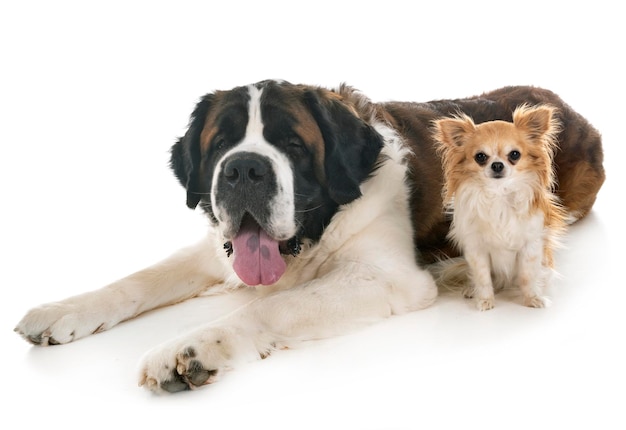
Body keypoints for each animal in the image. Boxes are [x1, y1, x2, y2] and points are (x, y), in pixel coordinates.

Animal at [434, 106, 564, 310]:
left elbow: (527, 275)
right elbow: (482, 277)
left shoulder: (531, 245)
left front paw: (532, 298)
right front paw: (485, 300)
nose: (497, 165)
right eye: (480, 157)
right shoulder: (476, 249)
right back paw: (471, 290)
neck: (499, 193)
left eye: (514, 154)